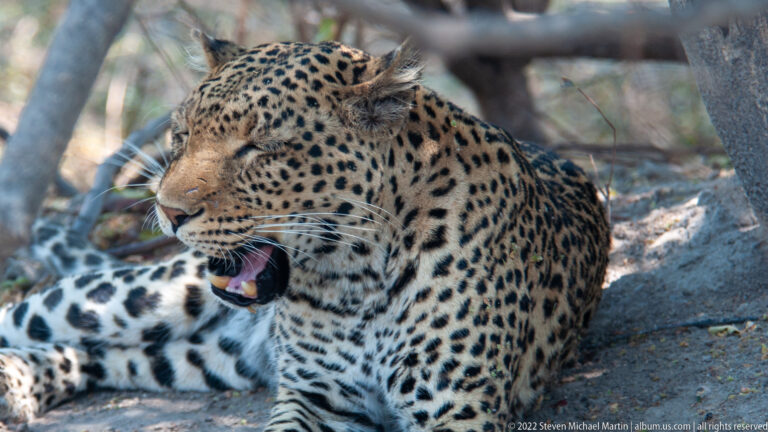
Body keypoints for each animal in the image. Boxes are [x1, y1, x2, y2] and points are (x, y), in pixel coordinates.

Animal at [0, 32, 609, 431]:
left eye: (258, 148)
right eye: (180, 135)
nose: (168, 212)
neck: (357, 276)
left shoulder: (457, 405)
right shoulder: (315, 396)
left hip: (208, 357)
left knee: (105, 356)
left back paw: (18, 387)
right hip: (143, 295)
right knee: (31, 319)